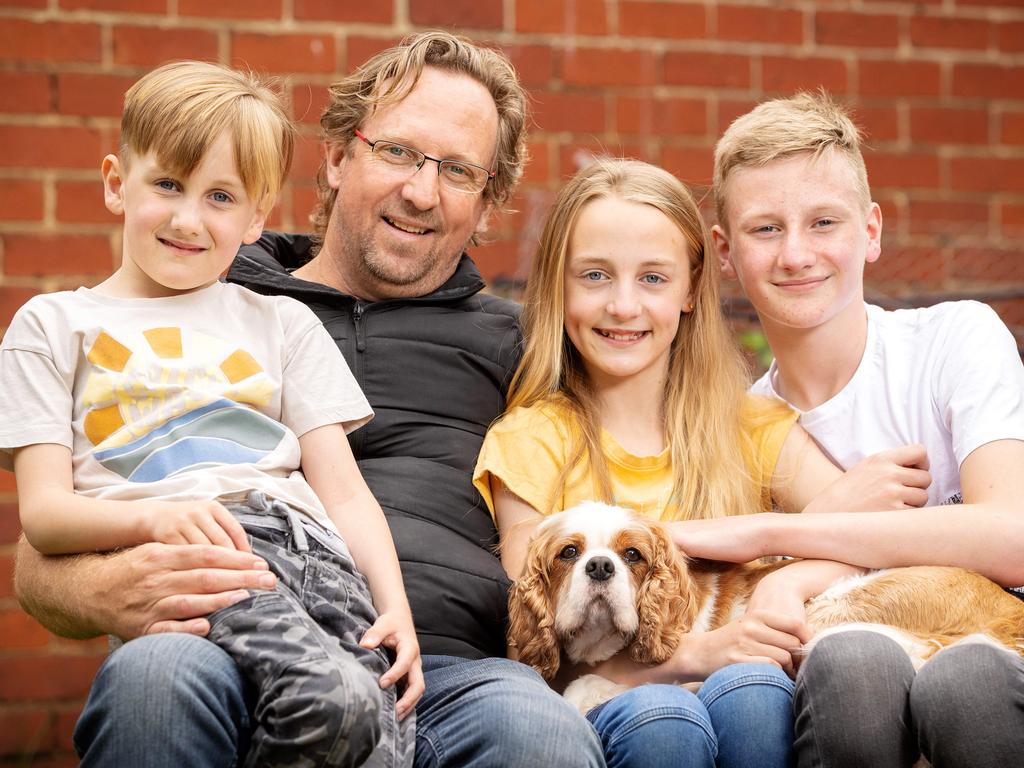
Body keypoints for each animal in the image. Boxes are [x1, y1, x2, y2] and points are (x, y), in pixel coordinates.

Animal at [509, 501, 1024, 720]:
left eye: (632, 555)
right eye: (568, 553)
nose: (600, 566)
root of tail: (1010, 614)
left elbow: (590, 687)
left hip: (831, 612)